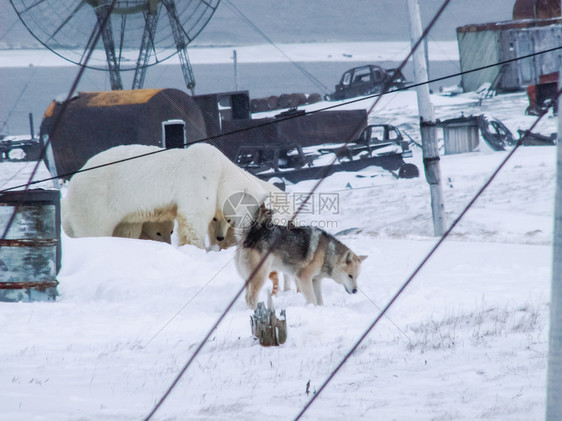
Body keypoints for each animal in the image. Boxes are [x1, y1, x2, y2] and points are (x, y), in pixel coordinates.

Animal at [61, 143, 280, 248]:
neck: (221, 170)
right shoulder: (199, 178)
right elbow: (194, 216)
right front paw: (197, 249)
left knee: (125, 227)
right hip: (95, 200)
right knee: (94, 228)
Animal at [234, 204, 366, 308]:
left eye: (357, 276)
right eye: (350, 276)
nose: (355, 291)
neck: (327, 253)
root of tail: (252, 234)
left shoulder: (315, 280)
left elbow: (319, 301)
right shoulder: (303, 278)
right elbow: (312, 299)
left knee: (247, 297)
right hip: (260, 275)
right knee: (251, 299)